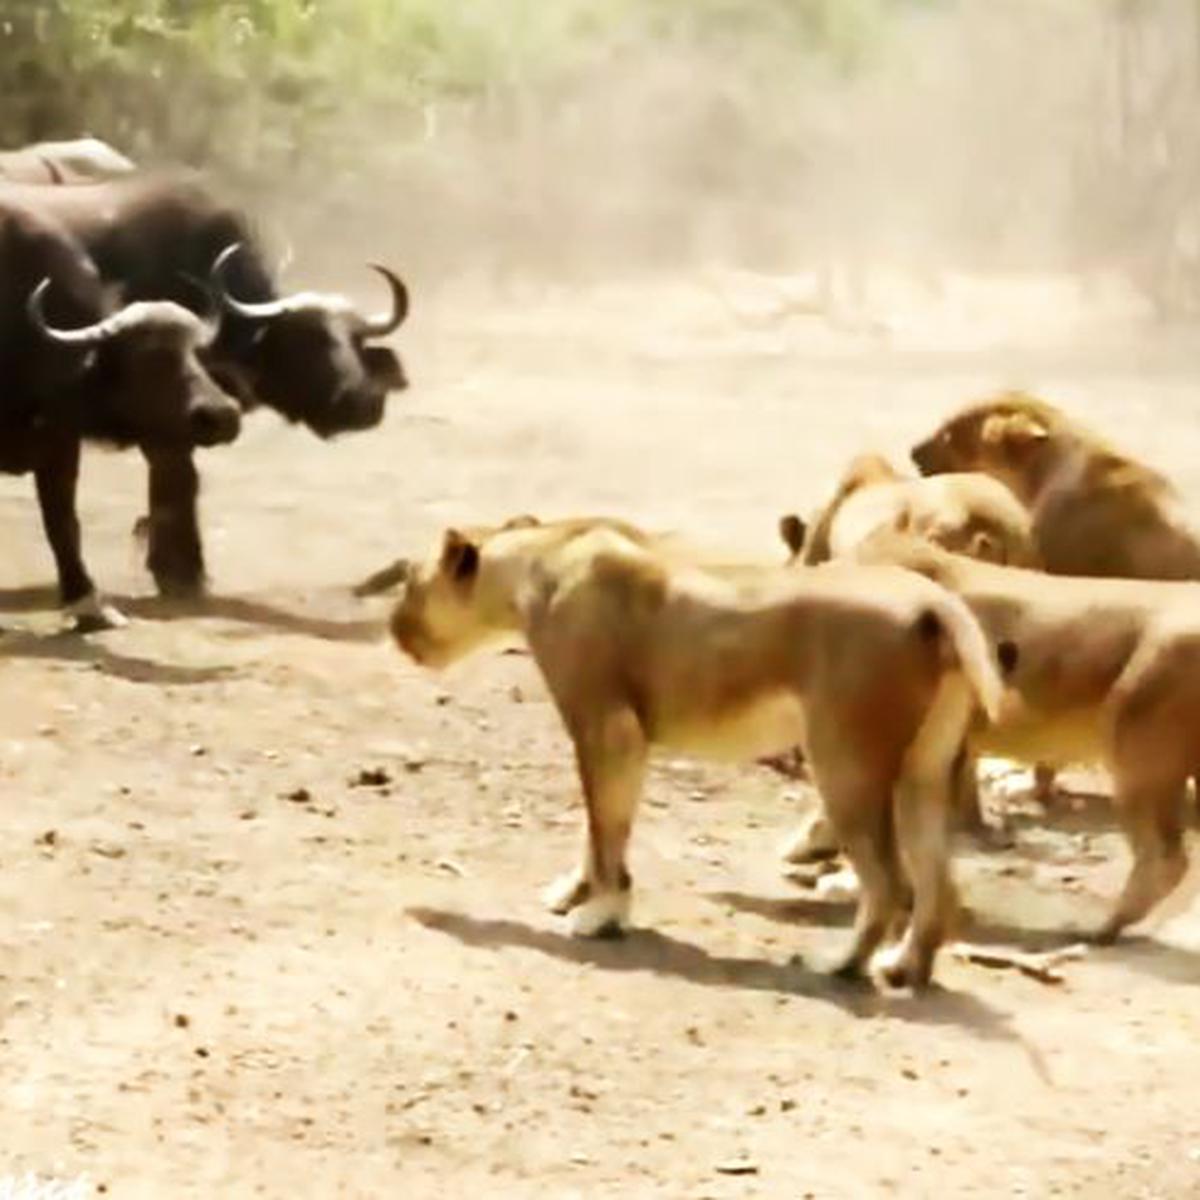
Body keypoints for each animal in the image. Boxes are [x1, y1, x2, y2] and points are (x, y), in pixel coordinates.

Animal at [0, 199, 243, 628]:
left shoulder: (60, 442)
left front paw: (88, 603)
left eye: (197, 353)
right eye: (151, 359)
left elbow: (62, 521)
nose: (222, 415)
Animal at [388, 511, 1008, 988]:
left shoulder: (607, 729)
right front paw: (578, 894)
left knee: (889, 883)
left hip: (845, 764)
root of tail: (932, 601)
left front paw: (601, 915)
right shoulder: (615, 740)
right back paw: (902, 969)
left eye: (409, 581)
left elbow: (605, 831)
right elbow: (597, 827)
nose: (392, 629)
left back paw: (838, 964)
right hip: (921, 773)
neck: (541, 559)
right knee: (940, 884)